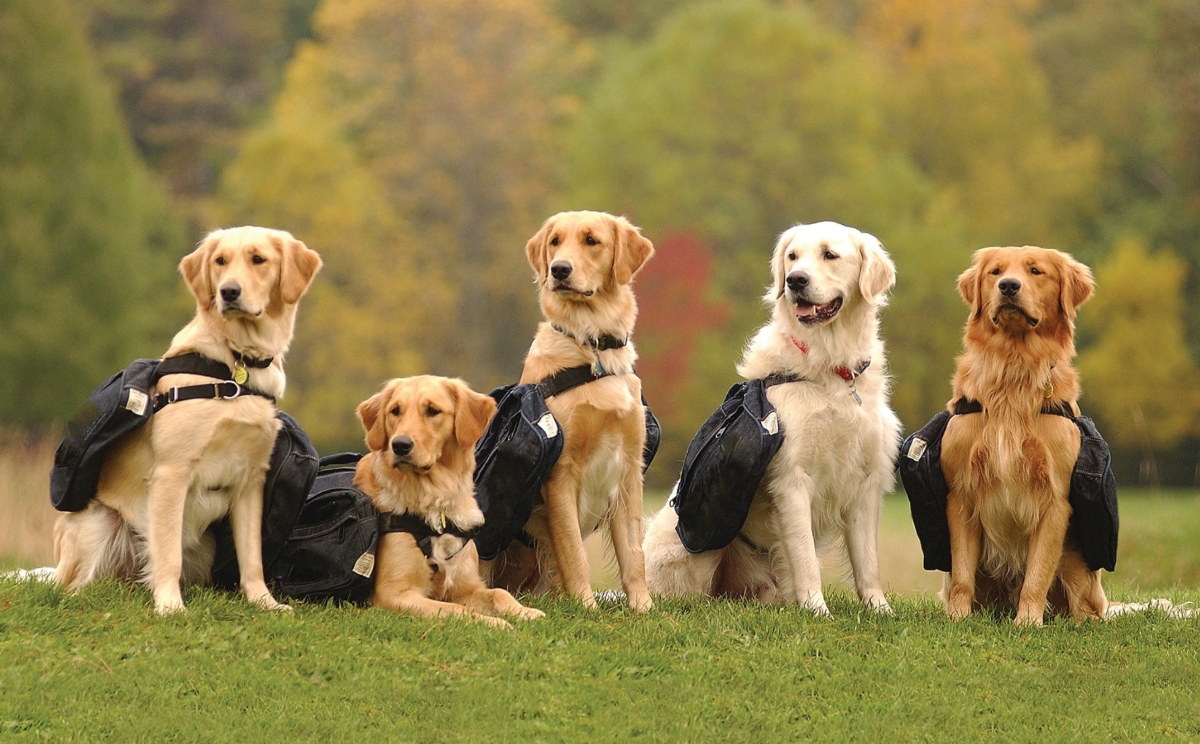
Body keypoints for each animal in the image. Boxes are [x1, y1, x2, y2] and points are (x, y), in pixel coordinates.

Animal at [54, 228, 321, 614]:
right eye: (220, 261)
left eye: (258, 259)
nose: (229, 292)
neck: (235, 366)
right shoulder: (172, 471)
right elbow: (167, 554)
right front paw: (170, 606)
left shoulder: (251, 480)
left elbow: (252, 556)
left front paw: (264, 602)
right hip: (98, 523)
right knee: (72, 586)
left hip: (203, 547)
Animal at [648, 219, 902, 614]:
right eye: (793, 257)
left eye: (830, 254)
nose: (795, 280)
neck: (830, 369)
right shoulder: (793, 479)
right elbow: (805, 558)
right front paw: (817, 610)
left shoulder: (865, 480)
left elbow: (868, 563)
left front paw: (880, 610)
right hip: (702, 537)